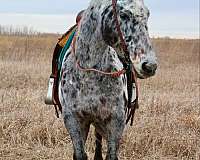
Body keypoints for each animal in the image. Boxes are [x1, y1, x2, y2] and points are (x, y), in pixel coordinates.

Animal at [58, 0, 157, 159]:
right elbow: (79, 154)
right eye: (123, 14)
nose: (150, 66)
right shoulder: (73, 120)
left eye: (147, 15)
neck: (89, 73)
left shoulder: (116, 122)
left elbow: (111, 154)